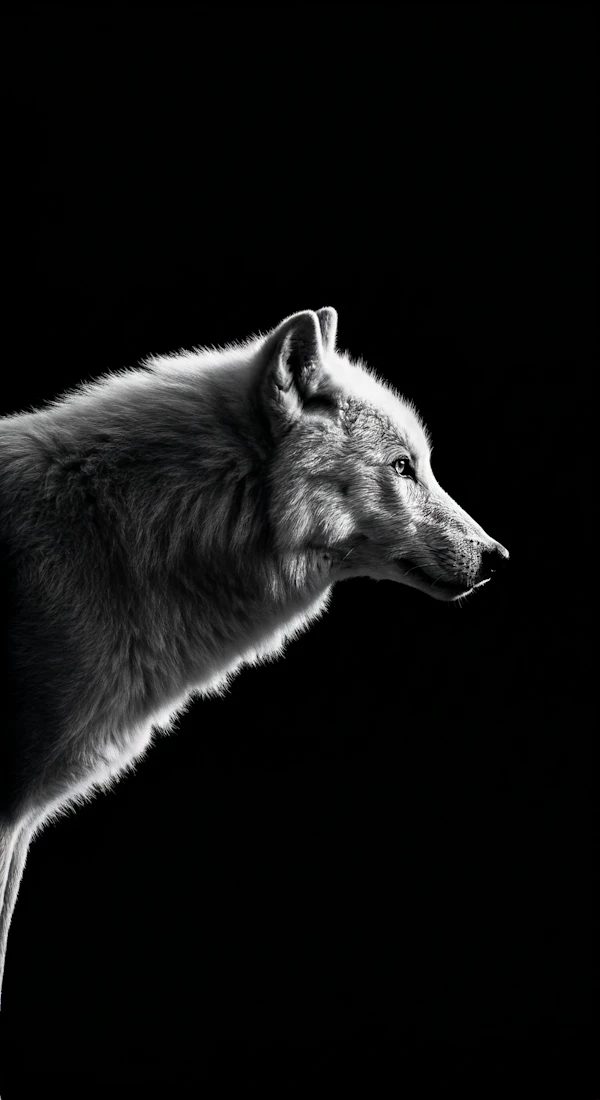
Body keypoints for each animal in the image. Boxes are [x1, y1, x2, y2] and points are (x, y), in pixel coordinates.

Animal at [0, 307, 508, 1004]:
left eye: (423, 464)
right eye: (403, 466)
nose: (497, 556)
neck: (123, 533)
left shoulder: (20, 824)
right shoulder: (6, 814)